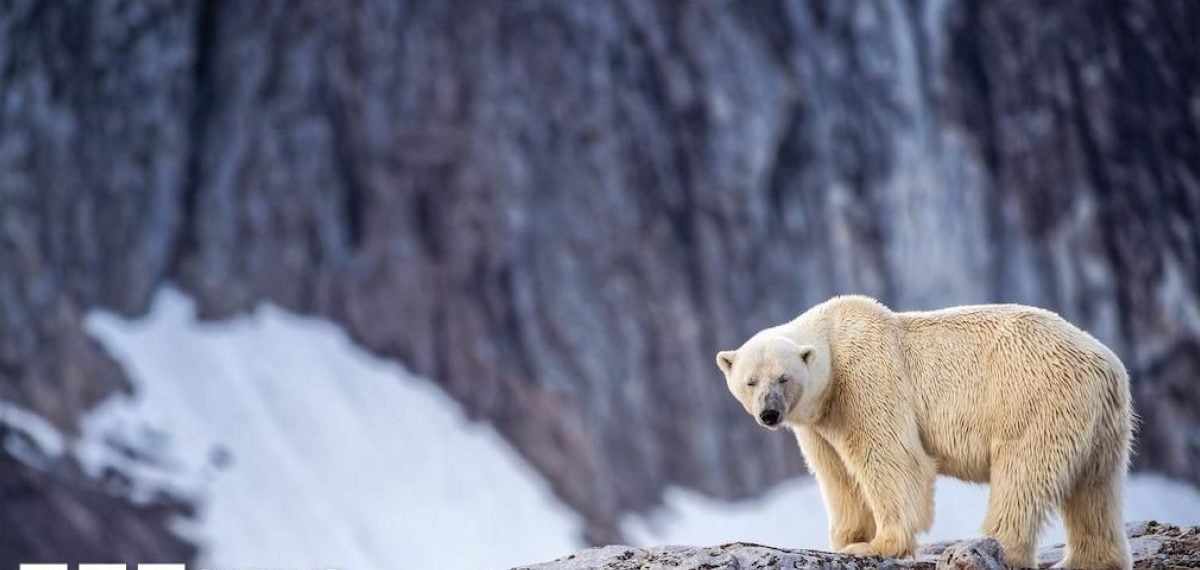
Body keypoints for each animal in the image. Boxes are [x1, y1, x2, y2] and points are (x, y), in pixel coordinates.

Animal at [715, 295, 1133, 569]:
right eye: (751, 381)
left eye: (783, 378)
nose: (769, 413)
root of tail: (1108, 367)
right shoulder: (819, 423)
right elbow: (837, 475)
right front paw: (848, 539)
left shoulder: (866, 378)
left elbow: (892, 459)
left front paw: (876, 545)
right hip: (1101, 424)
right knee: (1094, 488)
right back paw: (1090, 560)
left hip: (1035, 398)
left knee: (1022, 473)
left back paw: (992, 546)